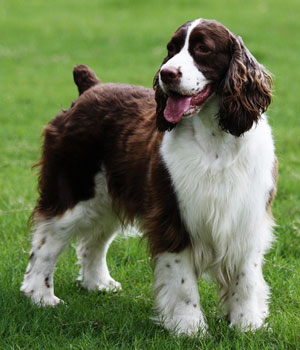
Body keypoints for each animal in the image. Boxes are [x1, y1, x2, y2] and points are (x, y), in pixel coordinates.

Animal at [21, 19, 278, 336]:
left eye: (203, 48)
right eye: (171, 48)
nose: (167, 73)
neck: (216, 142)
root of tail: (90, 88)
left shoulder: (246, 218)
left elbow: (246, 279)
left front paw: (247, 326)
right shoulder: (173, 217)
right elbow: (182, 282)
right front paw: (189, 328)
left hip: (107, 195)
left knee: (94, 240)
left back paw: (99, 284)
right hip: (74, 191)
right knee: (47, 241)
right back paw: (40, 296)